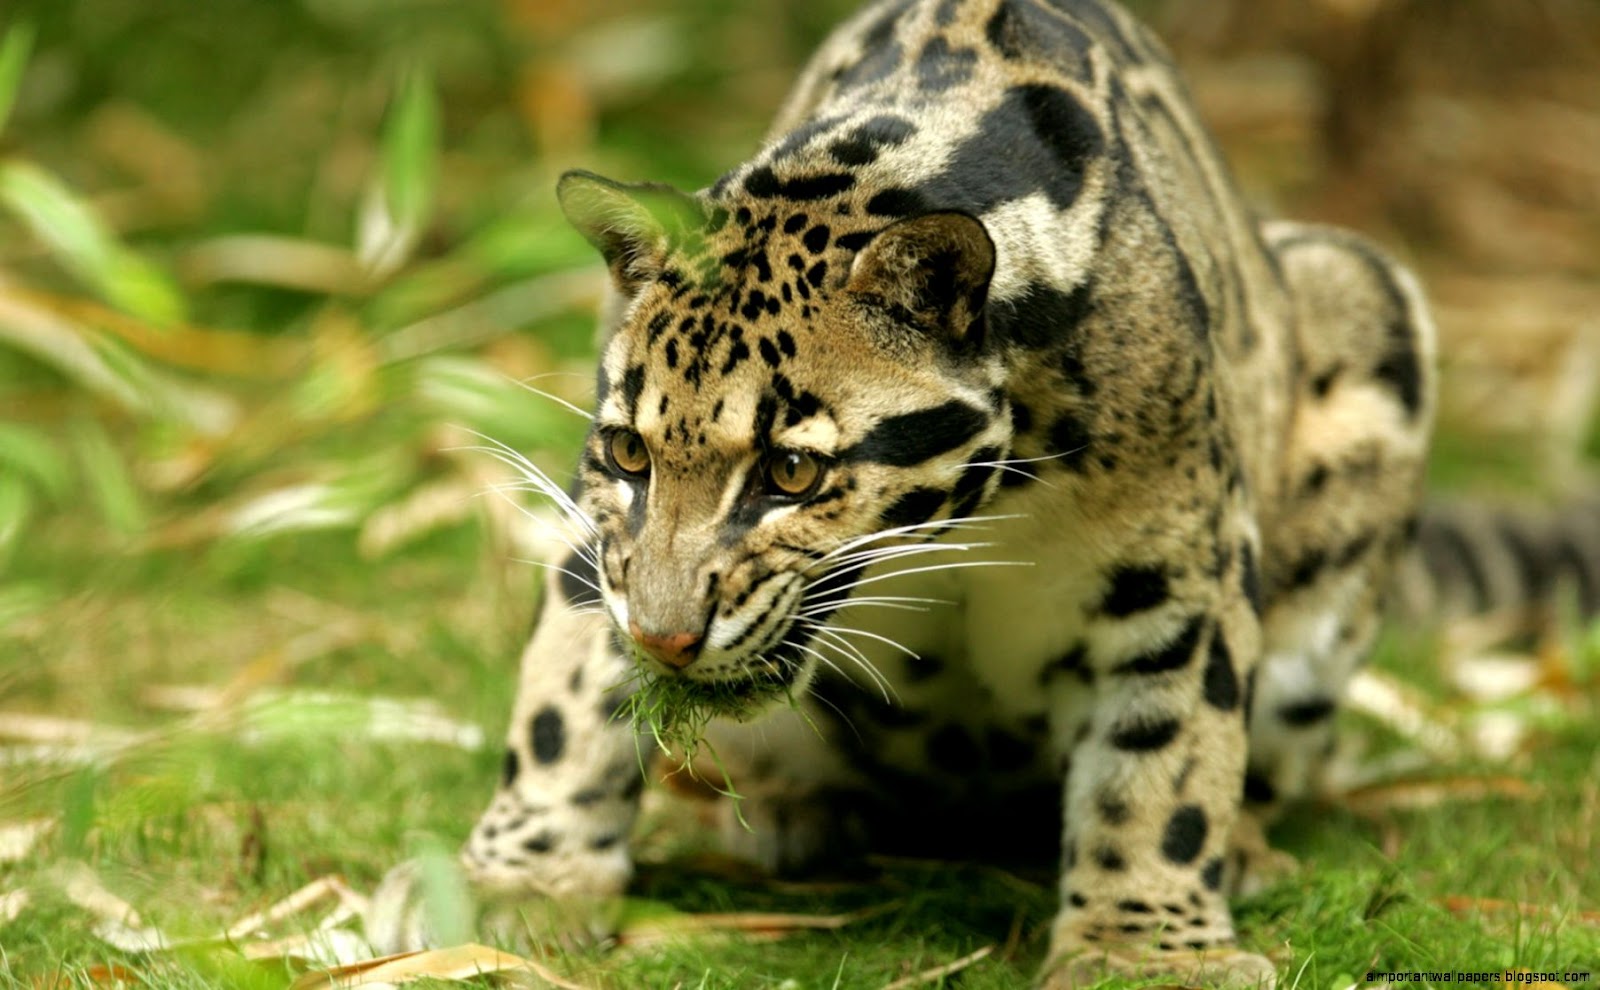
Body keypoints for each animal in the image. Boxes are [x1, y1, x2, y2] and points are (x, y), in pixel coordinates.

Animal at [368, 0, 1453, 985]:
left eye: (792, 472)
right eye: (632, 453)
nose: (666, 641)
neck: (981, 509)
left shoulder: (1178, 570)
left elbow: (1164, 759)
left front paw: (1141, 948)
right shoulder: (606, 543)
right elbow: (563, 701)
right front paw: (513, 883)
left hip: (1360, 297)